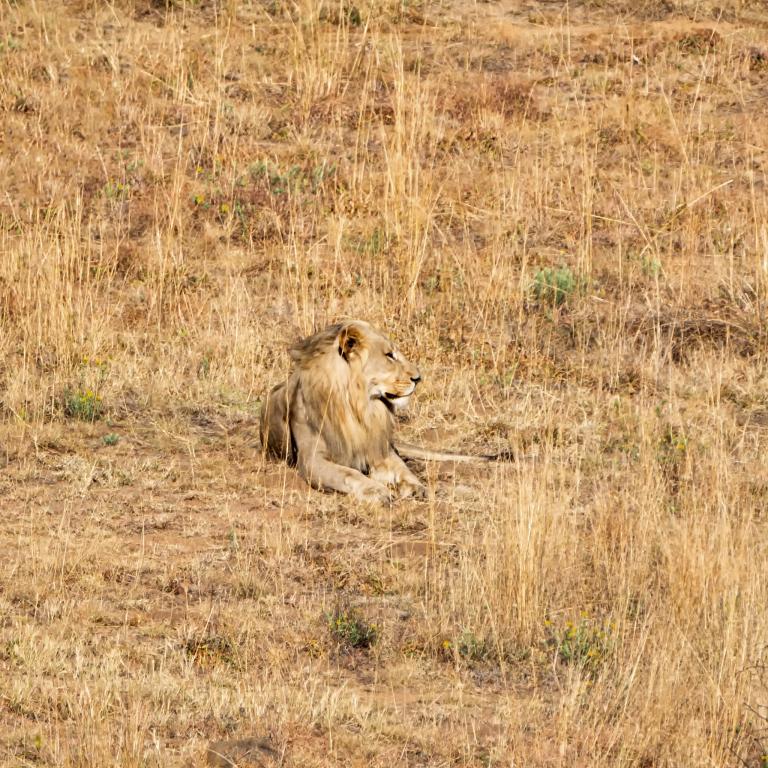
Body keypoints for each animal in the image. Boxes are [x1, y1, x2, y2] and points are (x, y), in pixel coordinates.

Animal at [258, 320, 498, 504]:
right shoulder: (312, 460)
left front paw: (417, 487)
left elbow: (402, 469)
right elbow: (349, 473)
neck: (359, 406)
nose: (418, 378)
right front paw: (375, 490)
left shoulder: (379, 449)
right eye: (389, 355)